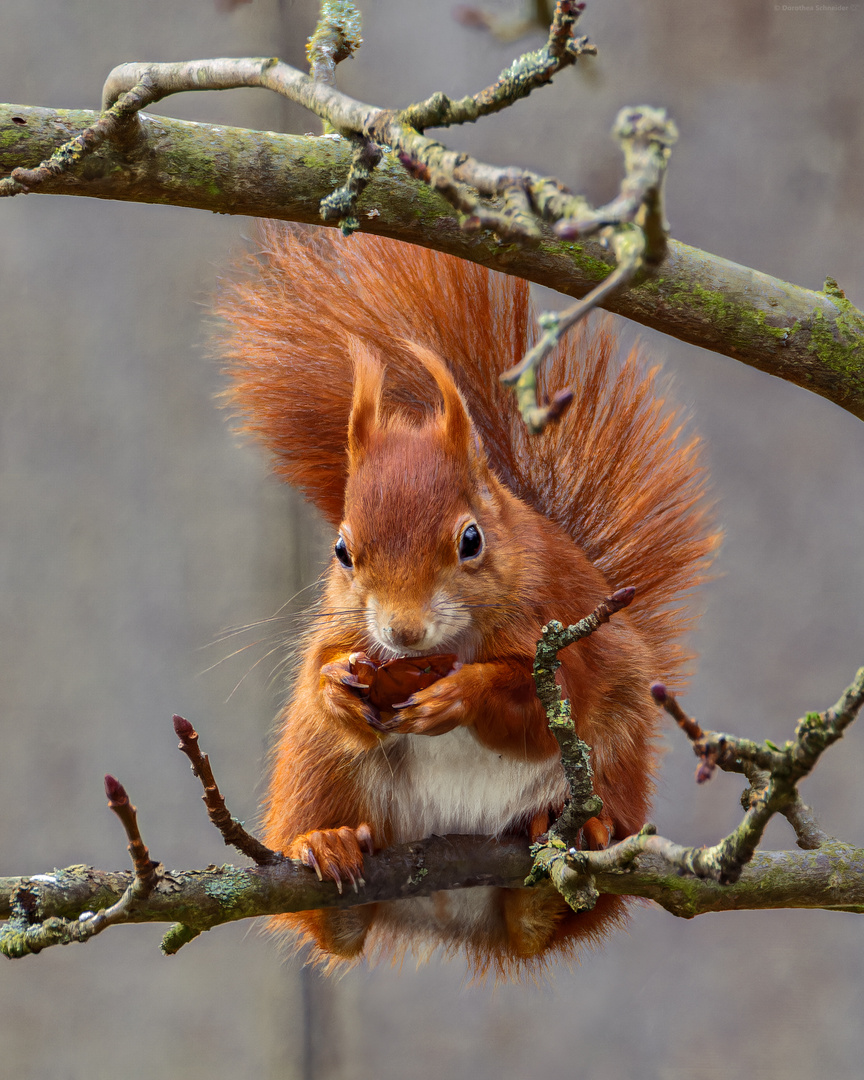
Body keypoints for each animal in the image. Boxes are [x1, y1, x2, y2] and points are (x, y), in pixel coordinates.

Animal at [213, 225, 717, 980]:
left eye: (471, 540)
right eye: (341, 551)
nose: (402, 632)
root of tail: (443, 910)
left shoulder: (563, 626)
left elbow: (546, 705)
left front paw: (464, 694)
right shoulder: (343, 627)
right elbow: (324, 666)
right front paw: (337, 686)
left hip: (617, 756)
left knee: (546, 914)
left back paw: (570, 845)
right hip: (318, 770)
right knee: (337, 921)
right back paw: (328, 845)